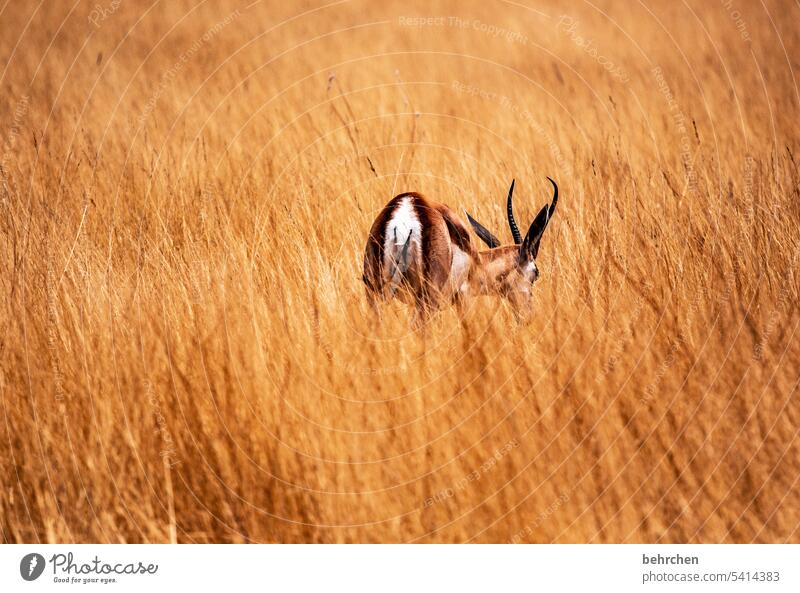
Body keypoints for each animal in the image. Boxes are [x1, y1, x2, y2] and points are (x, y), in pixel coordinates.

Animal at [362, 177, 556, 320]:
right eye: (536, 273)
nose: (528, 315)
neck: (476, 262)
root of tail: (405, 210)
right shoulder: (463, 298)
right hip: (426, 299)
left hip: (376, 293)